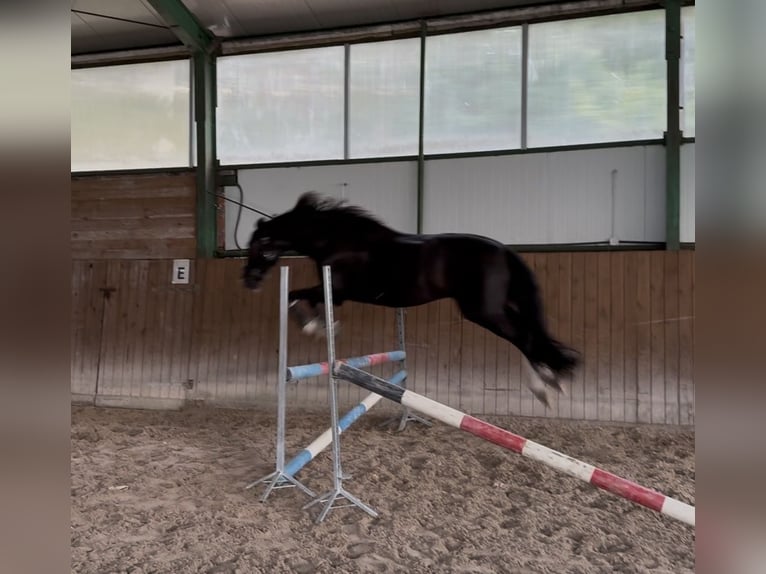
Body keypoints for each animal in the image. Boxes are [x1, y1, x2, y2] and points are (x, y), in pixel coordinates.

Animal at [243, 191, 580, 406]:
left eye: (258, 246)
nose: (249, 281)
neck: (339, 240)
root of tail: (504, 251)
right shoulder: (335, 294)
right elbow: (308, 302)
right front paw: (323, 327)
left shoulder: (337, 291)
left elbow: (294, 296)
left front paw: (315, 327)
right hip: (499, 307)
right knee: (531, 335)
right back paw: (549, 381)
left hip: (484, 312)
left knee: (525, 338)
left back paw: (547, 385)